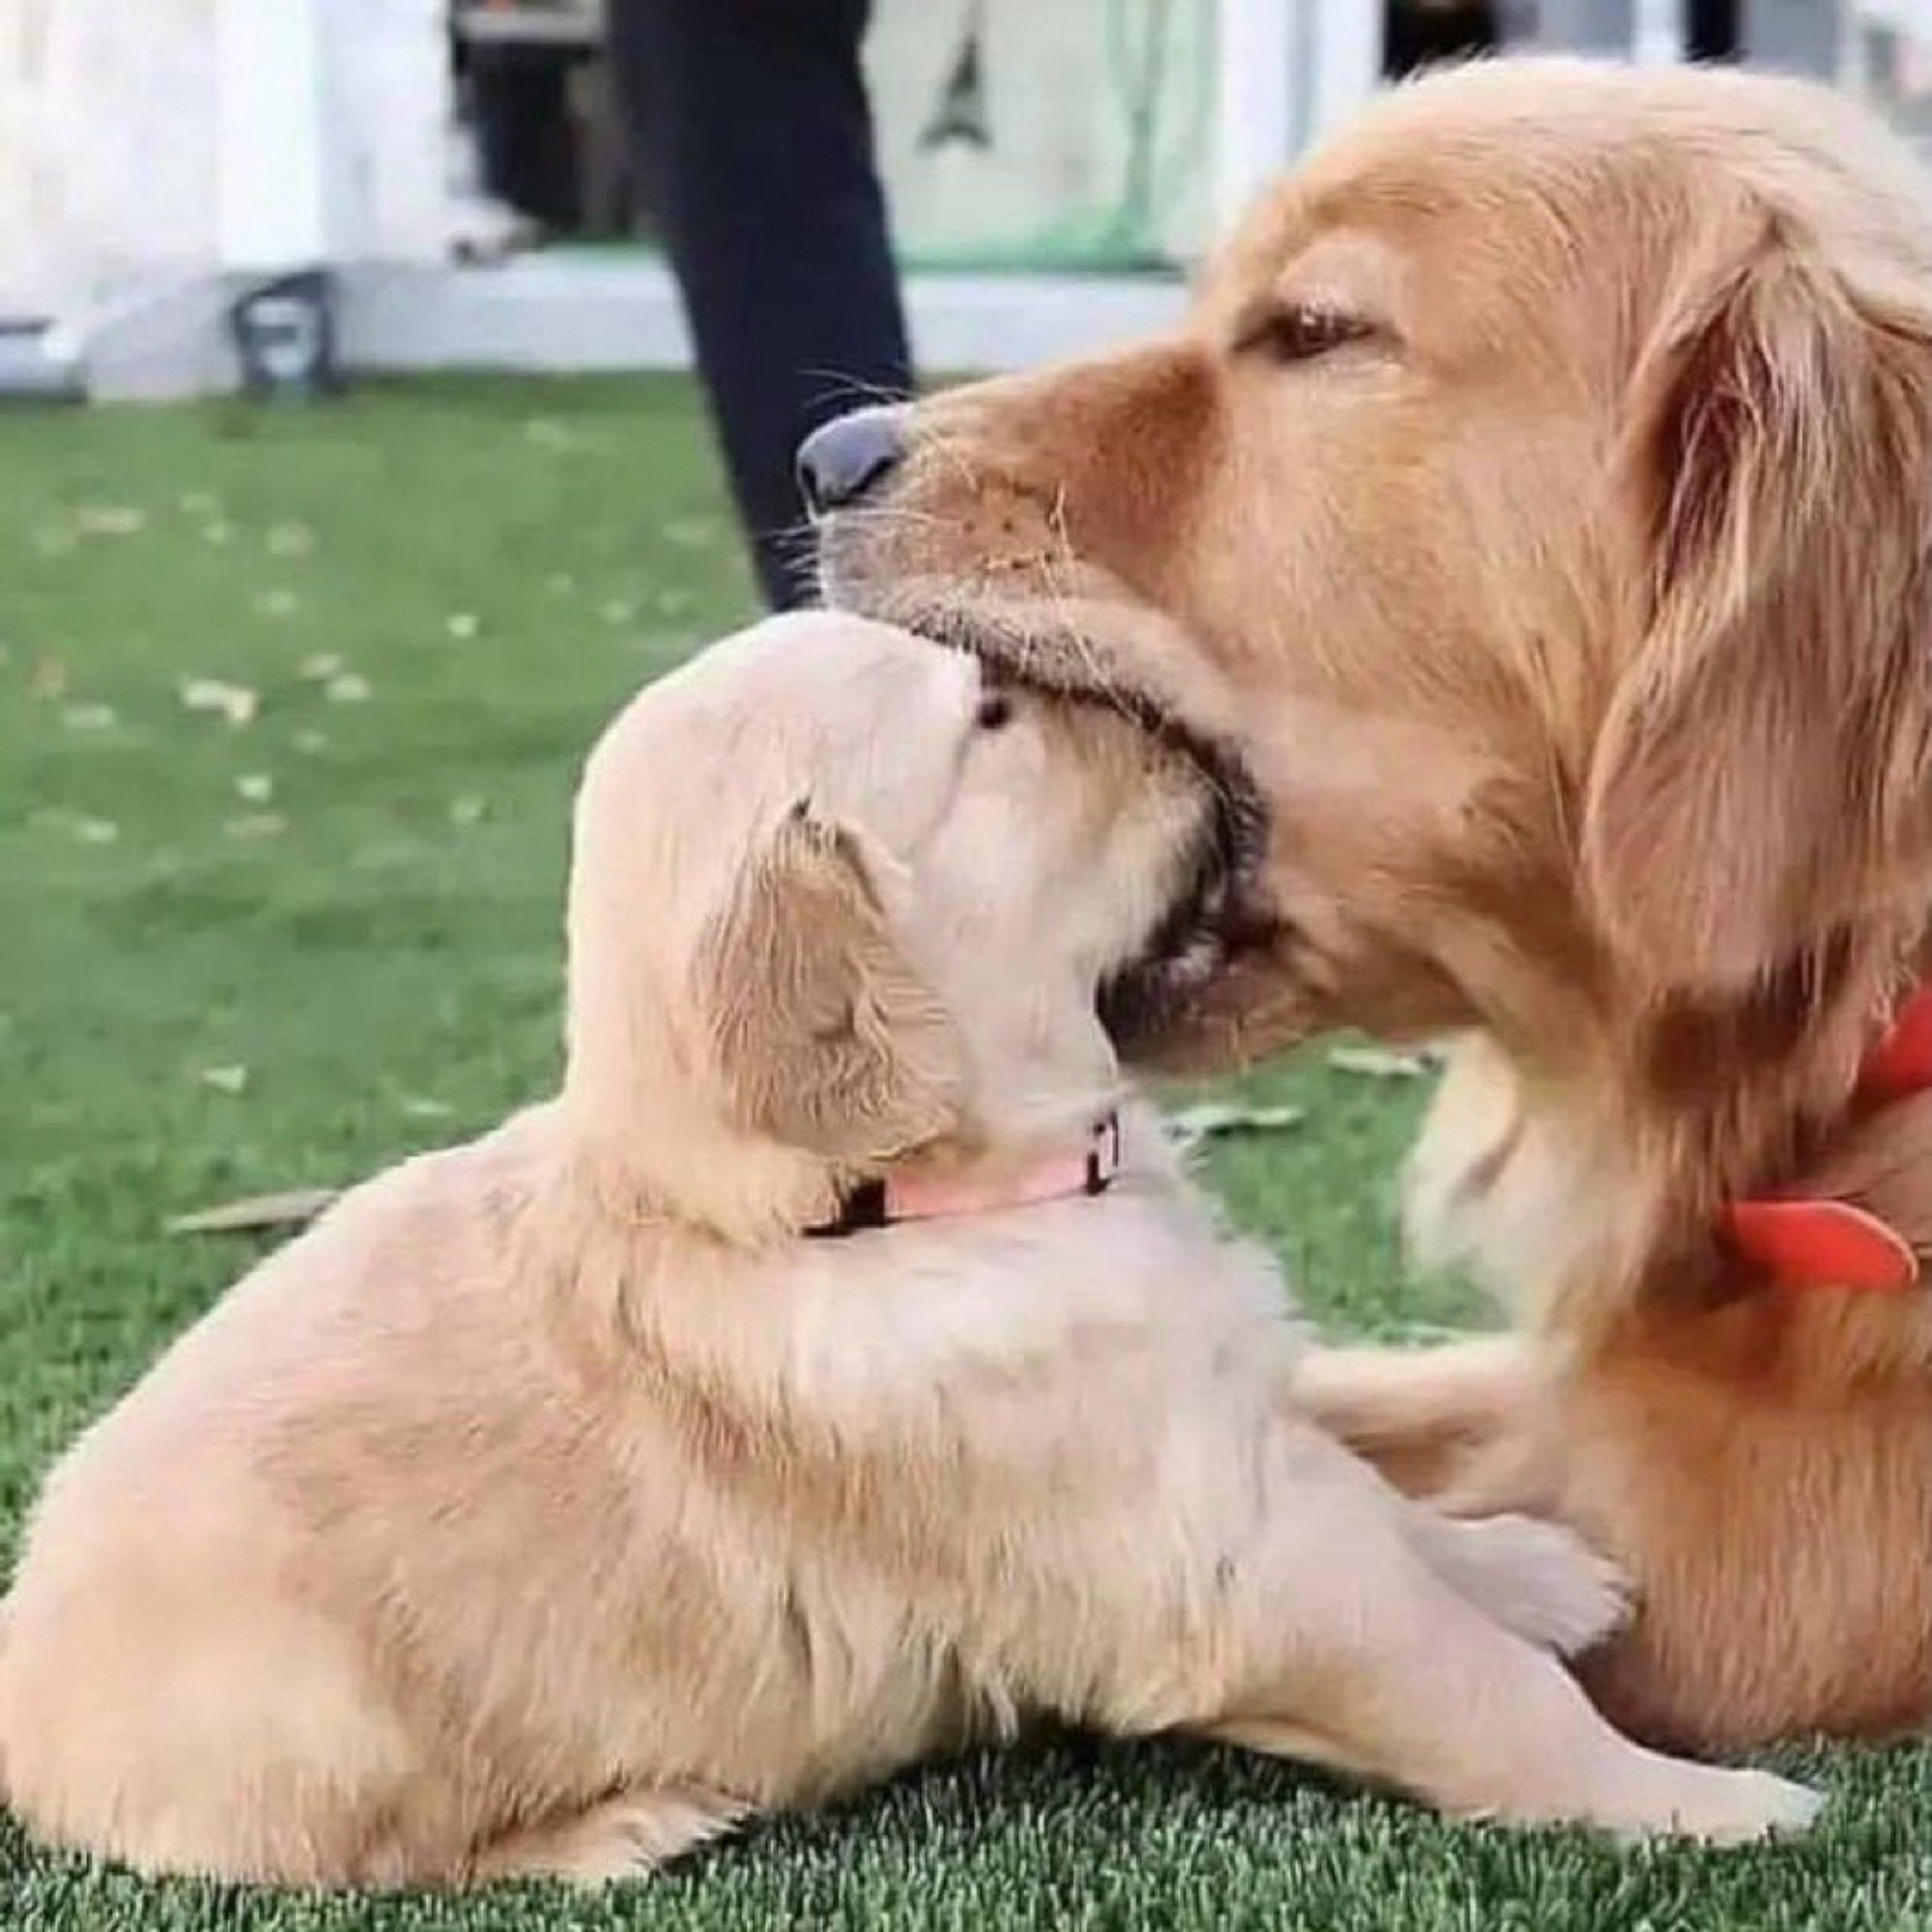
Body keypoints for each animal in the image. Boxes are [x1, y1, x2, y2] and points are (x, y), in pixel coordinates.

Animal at [0, 611, 1816, 1878]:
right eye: (996, 720)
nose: (1177, 714)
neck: (851, 1212)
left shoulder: (1220, 1446)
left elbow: (1379, 1504)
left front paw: (1527, 1565)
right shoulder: (1224, 1577)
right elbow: (1476, 1691)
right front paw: (1704, 1801)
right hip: (316, 1727)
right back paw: (628, 1826)